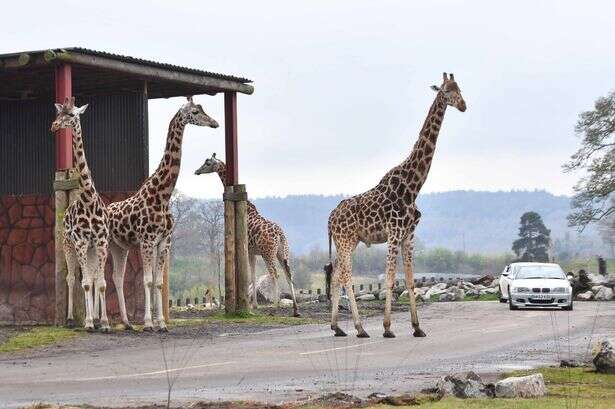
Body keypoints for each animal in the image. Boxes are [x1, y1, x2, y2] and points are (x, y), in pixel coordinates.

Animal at [50, 96, 112, 332]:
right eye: (59, 113)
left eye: (71, 114)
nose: (53, 126)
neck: (88, 199)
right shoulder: (81, 241)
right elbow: (83, 282)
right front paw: (87, 322)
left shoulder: (101, 242)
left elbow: (100, 282)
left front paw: (104, 322)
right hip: (68, 245)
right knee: (70, 277)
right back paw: (70, 319)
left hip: (92, 249)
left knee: (92, 277)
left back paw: (95, 317)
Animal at [107, 97, 219, 330]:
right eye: (196, 112)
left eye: (203, 109)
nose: (215, 123)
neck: (162, 195)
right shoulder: (147, 240)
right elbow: (148, 280)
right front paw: (149, 323)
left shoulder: (164, 241)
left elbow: (158, 282)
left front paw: (161, 323)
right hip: (102, 245)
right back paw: (98, 321)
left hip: (120, 247)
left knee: (116, 277)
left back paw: (125, 322)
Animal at [195, 153, 300, 316]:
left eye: (207, 163)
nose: (197, 171)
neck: (249, 210)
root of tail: (280, 234)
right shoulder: (252, 252)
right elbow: (253, 275)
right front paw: (254, 305)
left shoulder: (249, 250)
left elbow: (249, 275)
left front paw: (251, 306)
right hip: (282, 252)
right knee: (288, 273)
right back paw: (295, 309)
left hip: (268, 252)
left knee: (274, 274)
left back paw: (276, 306)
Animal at [328, 73, 466, 338]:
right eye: (446, 90)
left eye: (460, 89)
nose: (464, 105)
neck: (412, 187)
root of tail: (329, 219)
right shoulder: (393, 233)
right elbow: (391, 280)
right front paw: (387, 328)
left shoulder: (408, 235)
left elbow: (410, 280)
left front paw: (417, 327)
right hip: (345, 240)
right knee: (347, 277)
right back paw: (360, 328)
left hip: (348, 242)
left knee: (337, 276)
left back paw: (337, 327)